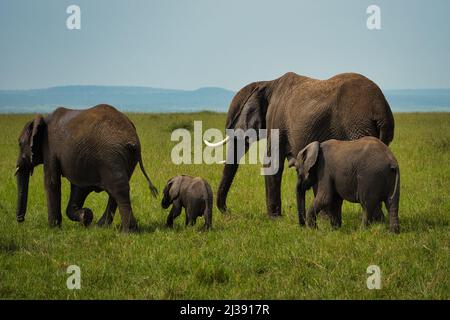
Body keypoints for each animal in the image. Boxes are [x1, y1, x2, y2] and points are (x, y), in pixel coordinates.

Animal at [15, 105, 158, 232]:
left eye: (20, 143)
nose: (20, 220)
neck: (43, 120)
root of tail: (132, 137)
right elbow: (78, 189)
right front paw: (85, 216)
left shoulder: (50, 149)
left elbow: (52, 182)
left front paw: (54, 229)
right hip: (125, 158)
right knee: (115, 191)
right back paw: (102, 227)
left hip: (110, 156)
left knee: (119, 190)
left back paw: (127, 232)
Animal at [207, 72, 394, 218]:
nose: (228, 212)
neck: (267, 82)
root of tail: (381, 110)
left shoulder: (276, 119)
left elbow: (272, 163)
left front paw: (274, 219)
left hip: (357, 127)